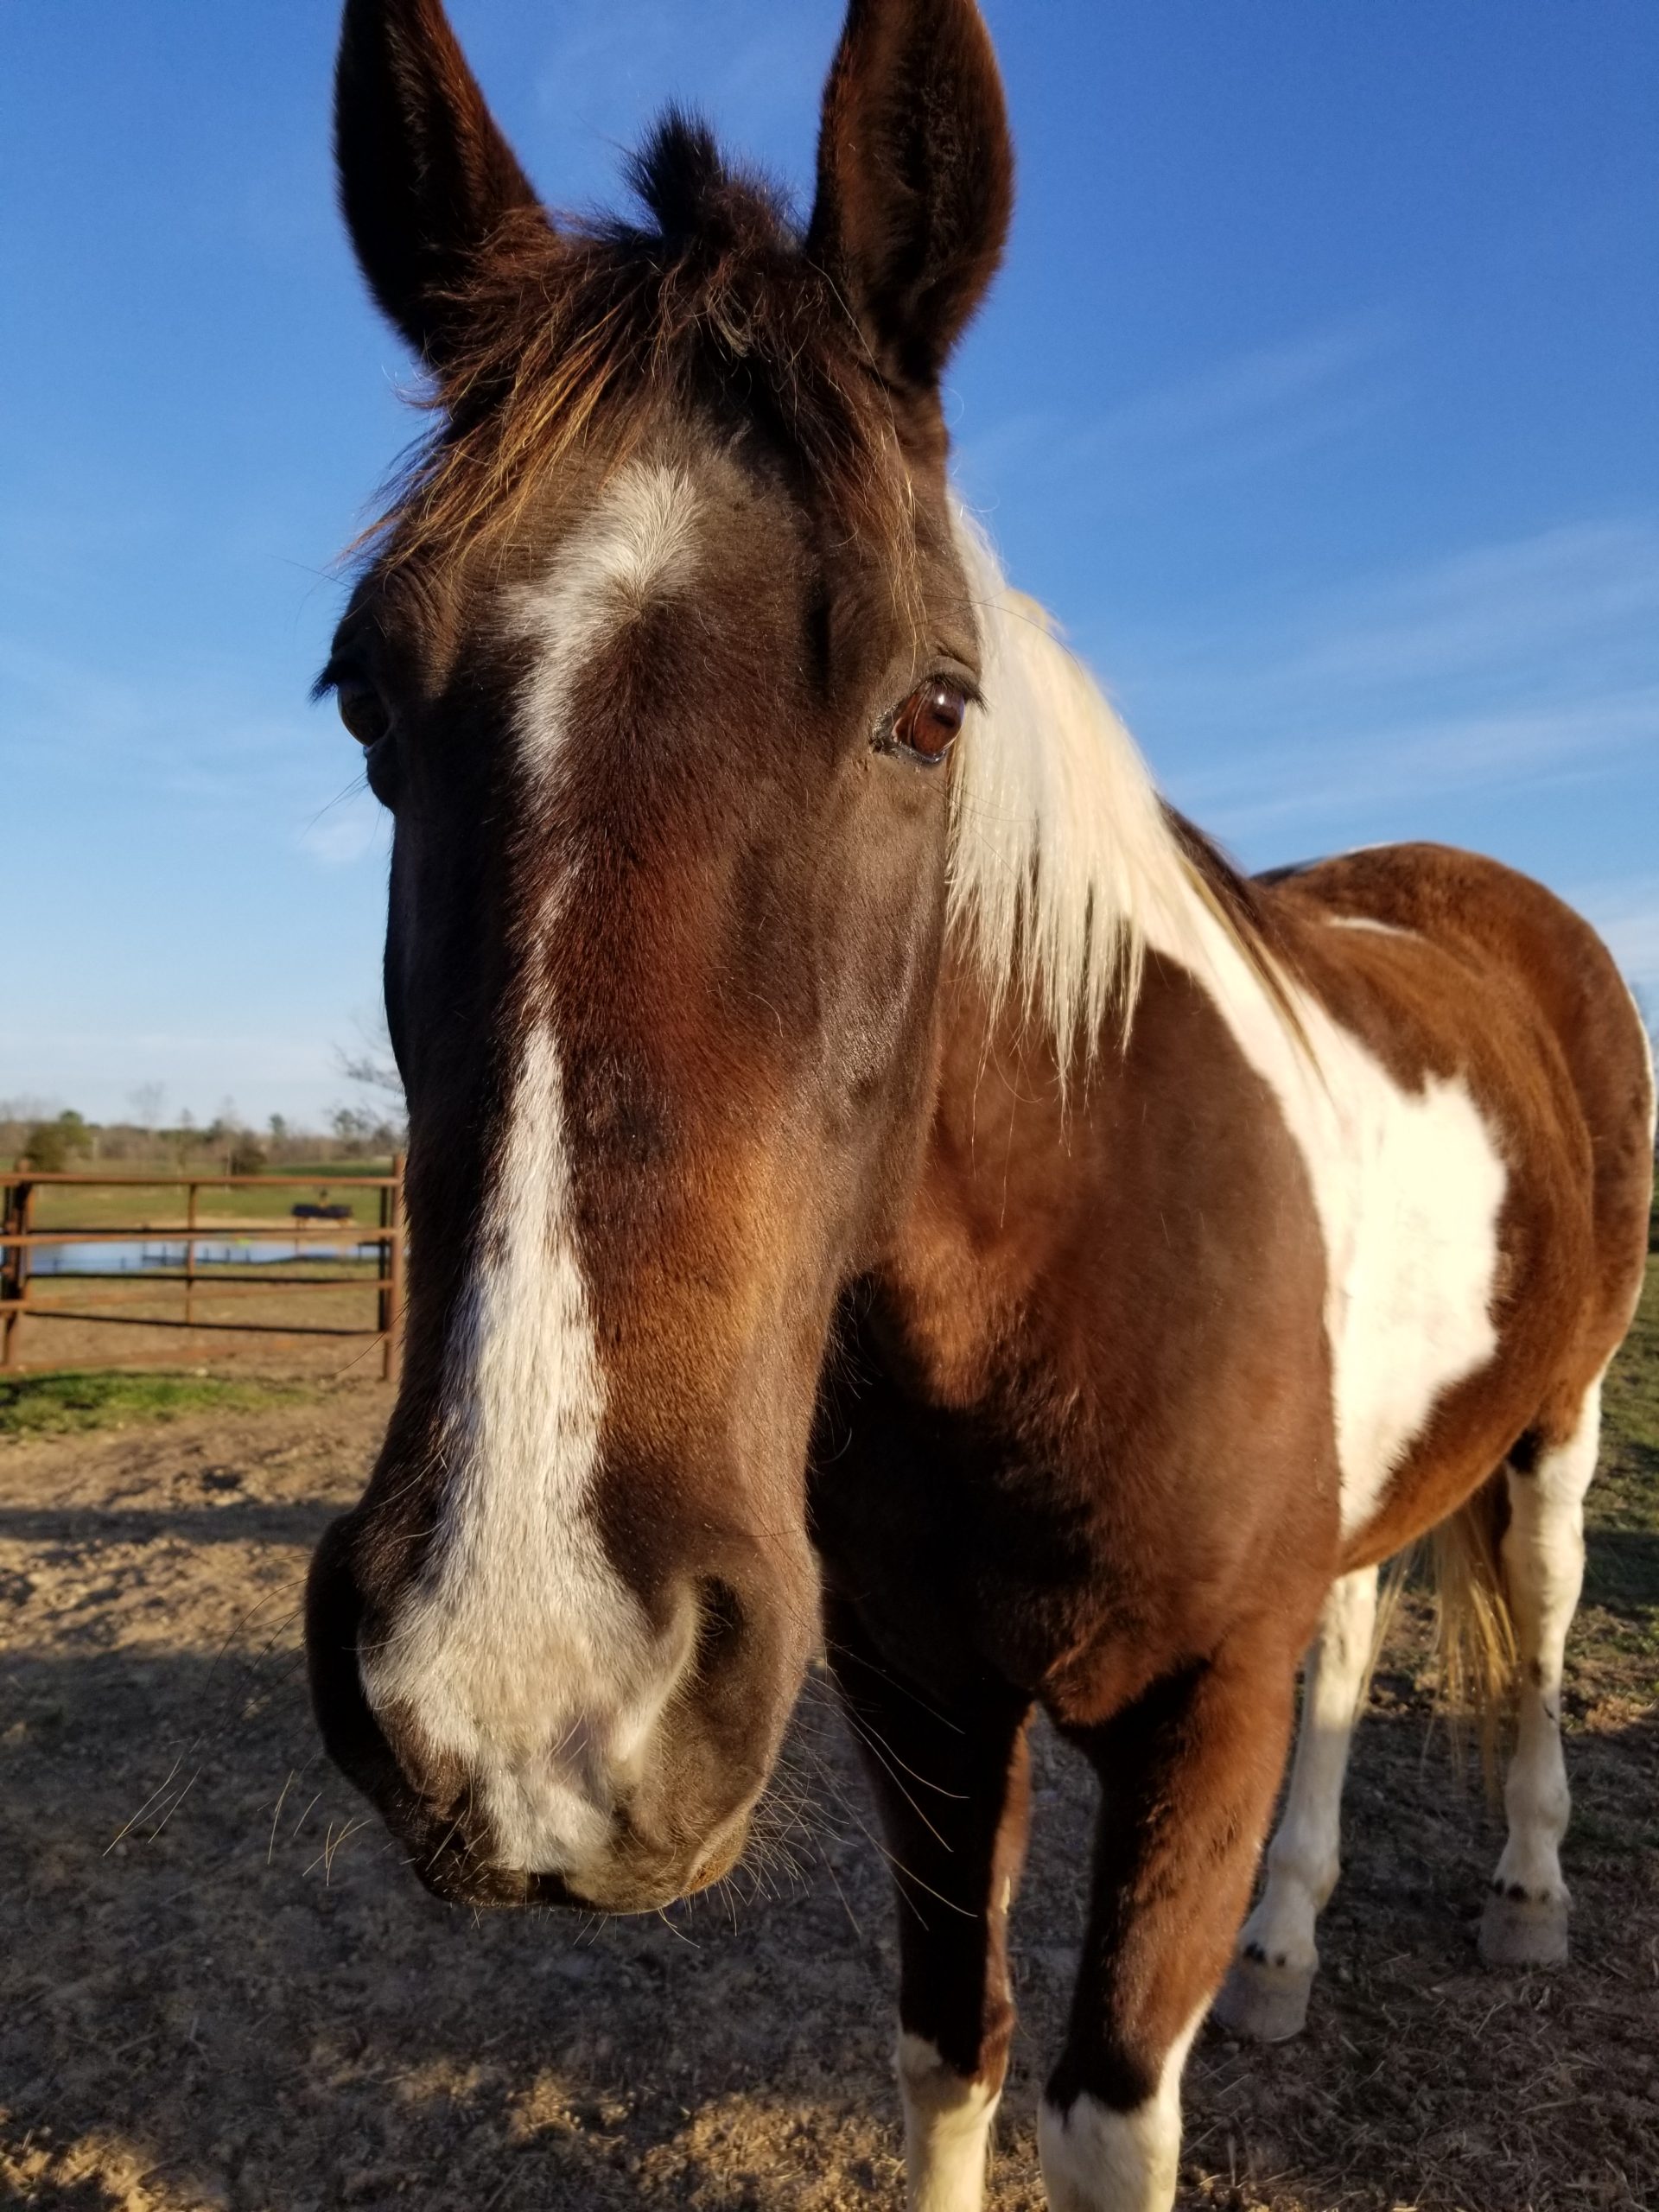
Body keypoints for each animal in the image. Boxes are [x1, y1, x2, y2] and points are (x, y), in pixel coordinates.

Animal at [305, 4, 1654, 2212]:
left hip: (1556, 1424)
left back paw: (1530, 1897)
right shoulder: (920, 1701)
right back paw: (1288, 1946)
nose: (528, 1685)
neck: (1065, 1272)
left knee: (1528, 1634)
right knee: (1358, 1637)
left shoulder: (1191, 1717)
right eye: (363, 699)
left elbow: (1107, 2106)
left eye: (932, 705)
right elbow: (952, 2046)